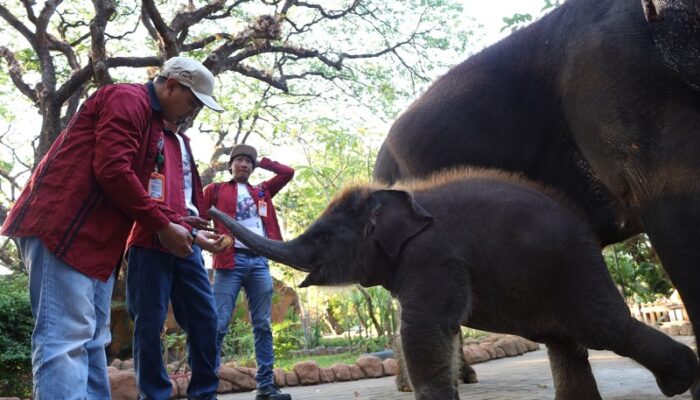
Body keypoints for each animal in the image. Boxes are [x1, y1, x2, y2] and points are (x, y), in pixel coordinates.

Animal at [209, 167, 700, 398]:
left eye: (324, 237)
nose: (206, 211)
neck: (398, 196)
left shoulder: (436, 255)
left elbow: (424, 327)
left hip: (576, 272)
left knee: (603, 329)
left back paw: (682, 380)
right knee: (566, 343)